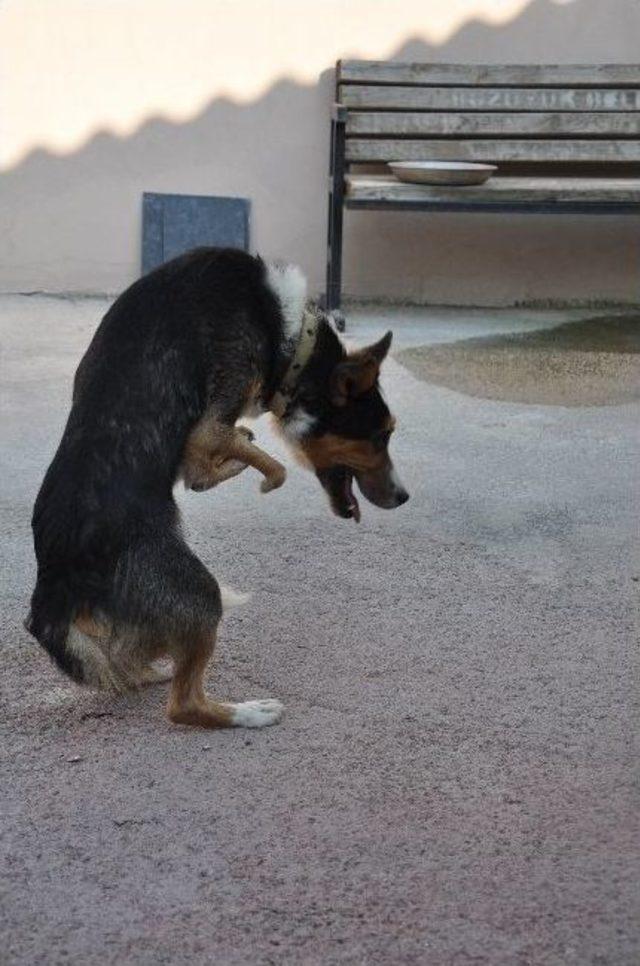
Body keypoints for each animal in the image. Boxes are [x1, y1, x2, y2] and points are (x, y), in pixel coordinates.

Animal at [26, 246, 410, 728]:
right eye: (381, 435)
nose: (403, 497)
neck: (290, 335)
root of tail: (54, 587)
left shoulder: (203, 442)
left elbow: (215, 469)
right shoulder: (206, 427)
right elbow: (272, 466)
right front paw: (258, 472)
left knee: (133, 662)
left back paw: (145, 671)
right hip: (198, 593)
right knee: (184, 705)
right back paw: (249, 712)